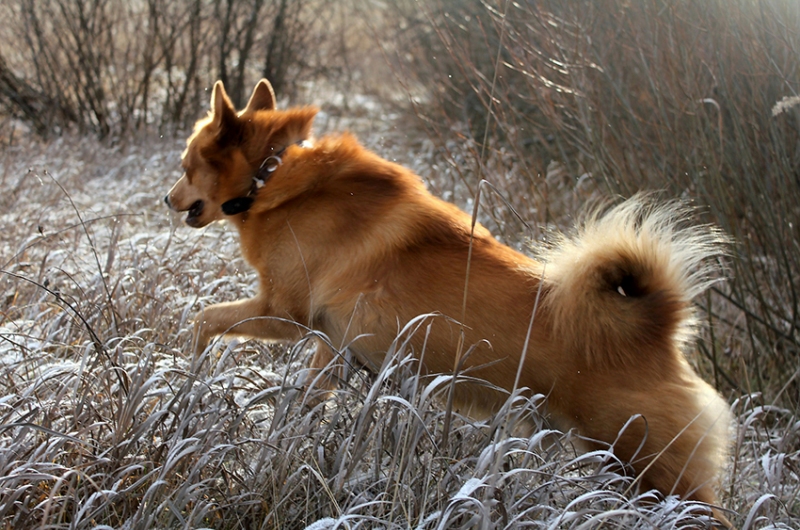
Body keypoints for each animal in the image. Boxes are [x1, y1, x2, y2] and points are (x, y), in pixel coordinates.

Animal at [166, 78, 736, 524]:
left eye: (186, 165)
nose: (168, 200)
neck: (272, 176)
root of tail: (656, 331)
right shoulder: (331, 345)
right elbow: (300, 400)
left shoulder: (285, 312)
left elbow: (204, 319)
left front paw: (187, 371)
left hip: (649, 469)